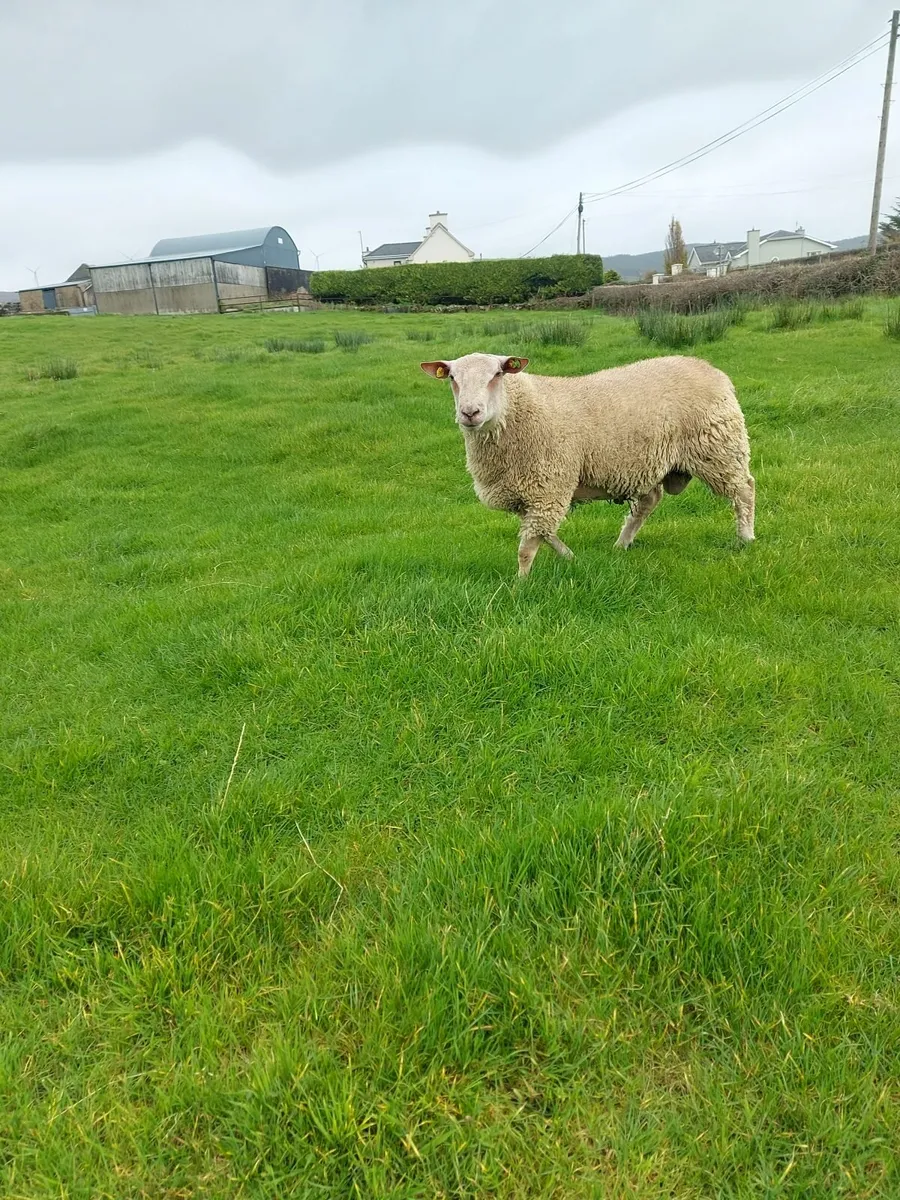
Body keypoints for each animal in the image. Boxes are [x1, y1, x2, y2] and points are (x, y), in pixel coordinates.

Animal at [420, 352, 755, 577]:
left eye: (497, 375)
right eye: (452, 379)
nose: (470, 412)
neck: (517, 410)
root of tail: (710, 368)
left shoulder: (548, 487)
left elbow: (528, 546)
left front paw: (520, 583)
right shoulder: (532, 494)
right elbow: (544, 532)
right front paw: (570, 558)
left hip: (719, 448)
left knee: (744, 490)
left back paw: (746, 537)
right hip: (647, 462)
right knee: (649, 501)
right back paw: (621, 544)